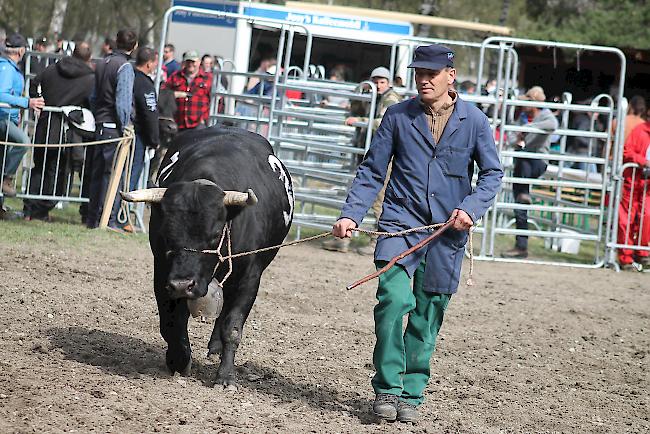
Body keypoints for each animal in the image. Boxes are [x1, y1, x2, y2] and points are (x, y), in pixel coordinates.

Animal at [122, 127, 294, 384]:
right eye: (167, 234)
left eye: (214, 235)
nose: (183, 285)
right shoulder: (162, 272)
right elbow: (171, 322)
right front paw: (179, 360)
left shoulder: (249, 279)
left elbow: (232, 327)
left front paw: (225, 376)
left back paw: (216, 348)